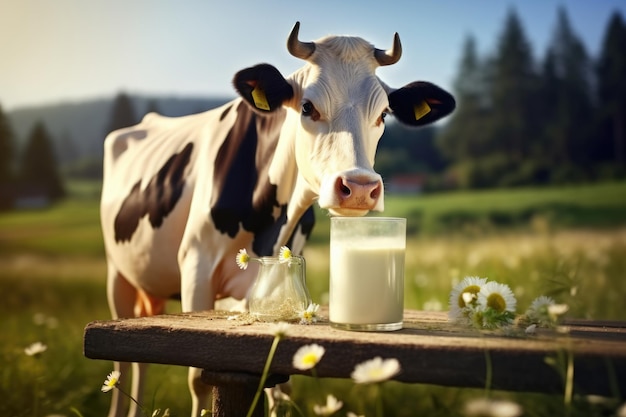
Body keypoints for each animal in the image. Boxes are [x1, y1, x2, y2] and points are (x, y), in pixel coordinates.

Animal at [101, 21, 454, 414]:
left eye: (383, 114)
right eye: (308, 106)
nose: (360, 187)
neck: (268, 231)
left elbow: (280, 388)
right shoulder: (195, 266)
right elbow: (197, 379)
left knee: (140, 360)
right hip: (118, 274)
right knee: (125, 361)